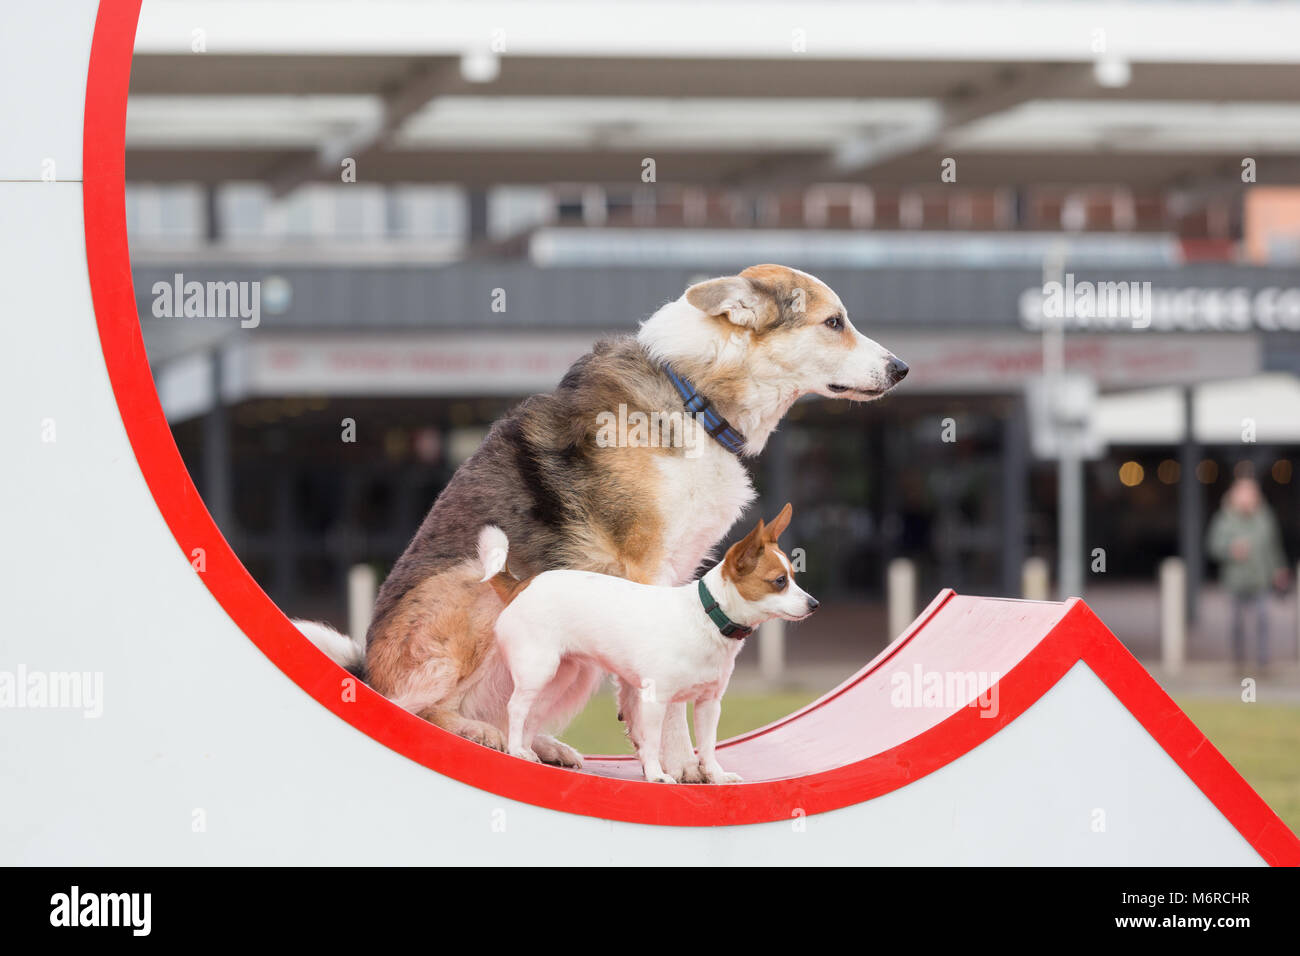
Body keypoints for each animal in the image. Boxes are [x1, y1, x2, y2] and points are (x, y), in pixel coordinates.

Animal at [483, 504, 816, 780]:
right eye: (779, 582)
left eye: (794, 577)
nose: (814, 604)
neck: (707, 617)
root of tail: (521, 585)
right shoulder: (655, 701)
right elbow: (652, 742)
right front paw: (657, 775)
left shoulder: (709, 705)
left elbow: (708, 746)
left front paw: (716, 775)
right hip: (537, 671)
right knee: (516, 708)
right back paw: (516, 749)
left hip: (557, 678)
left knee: (532, 714)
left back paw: (526, 752)